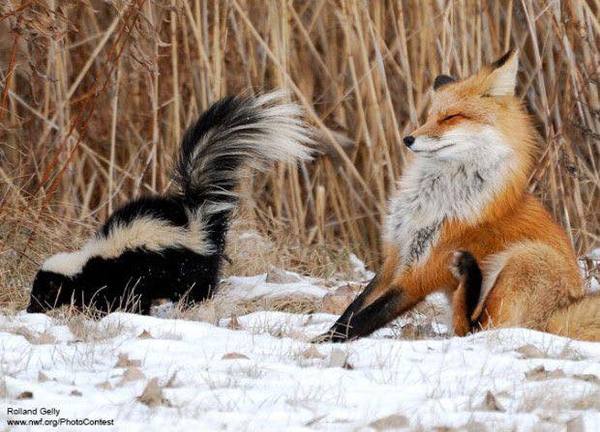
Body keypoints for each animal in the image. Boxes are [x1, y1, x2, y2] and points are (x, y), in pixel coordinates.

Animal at [29, 93, 314, 314]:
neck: (87, 262)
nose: (30, 308)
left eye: (42, 293)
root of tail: (196, 213)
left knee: (197, 286)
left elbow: (125, 298)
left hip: (187, 263)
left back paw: (193, 305)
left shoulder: (124, 274)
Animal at [318, 49, 600, 342]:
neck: (431, 200)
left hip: (528, 257)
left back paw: (470, 273)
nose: (407, 139)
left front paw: (321, 342)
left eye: (450, 117)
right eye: (429, 117)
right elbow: (352, 310)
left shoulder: (420, 275)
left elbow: (364, 319)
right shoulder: (396, 258)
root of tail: (558, 318)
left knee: (476, 329)